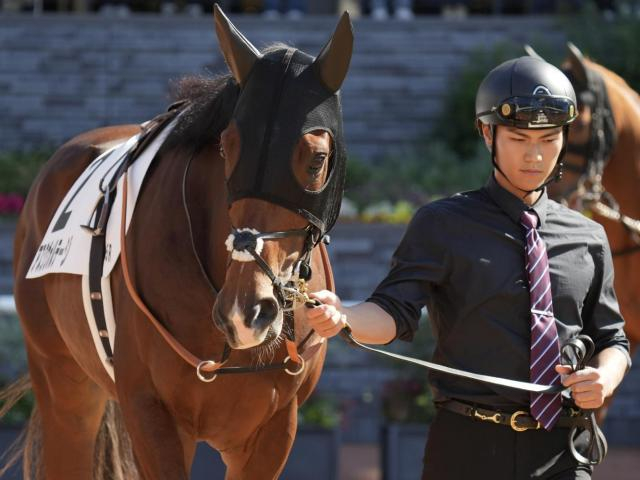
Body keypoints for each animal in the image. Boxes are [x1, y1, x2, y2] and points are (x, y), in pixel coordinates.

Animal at [0, 5, 352, 478]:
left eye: (317, 158)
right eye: (228, 147)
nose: (246, 312)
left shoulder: (274, 430)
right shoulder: (152, 415)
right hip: (63, 387)